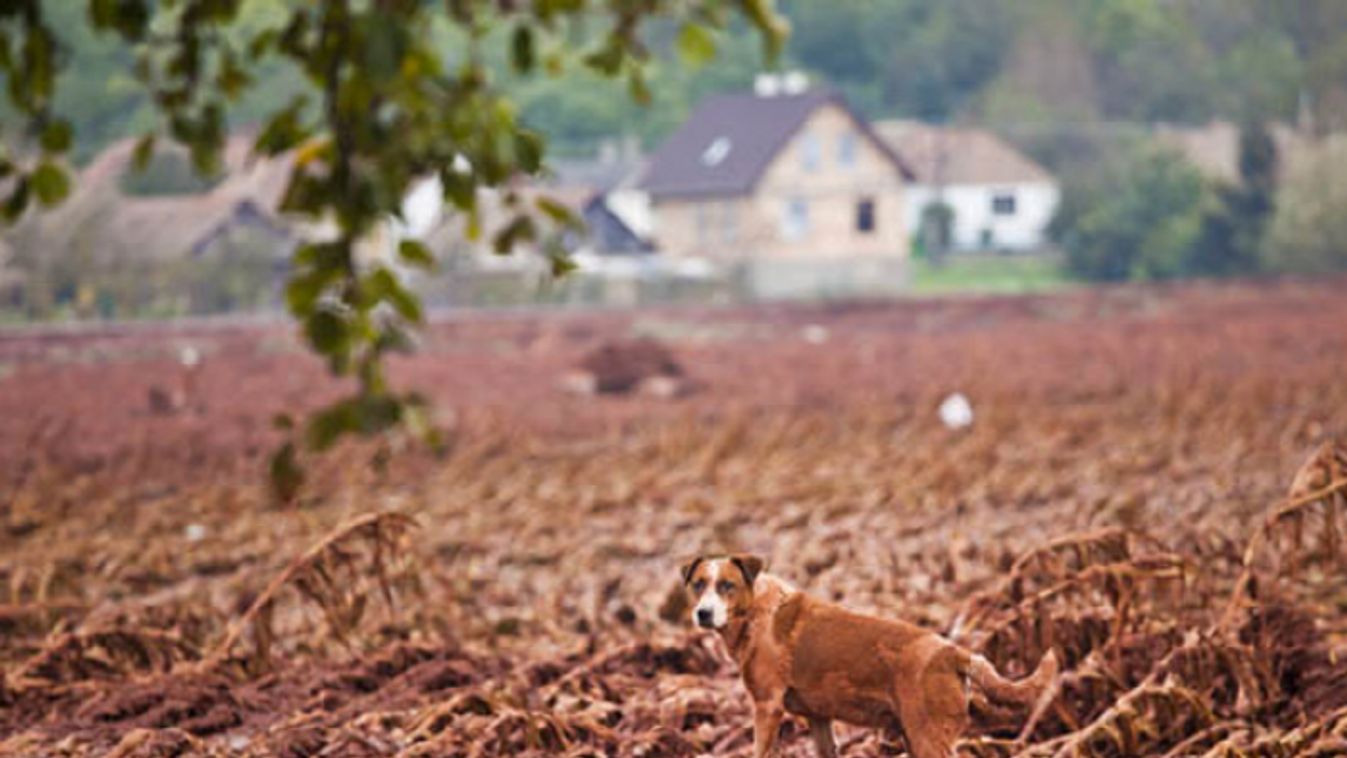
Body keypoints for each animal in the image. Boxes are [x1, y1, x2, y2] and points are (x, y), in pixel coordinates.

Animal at [689, 552, 1056, 758]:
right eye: (697, 584)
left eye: (727, 585)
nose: (702, 613)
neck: (754, 612)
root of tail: (956, 653)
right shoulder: (819, 719)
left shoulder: (767, 708)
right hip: (914, 737)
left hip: (928, 740)